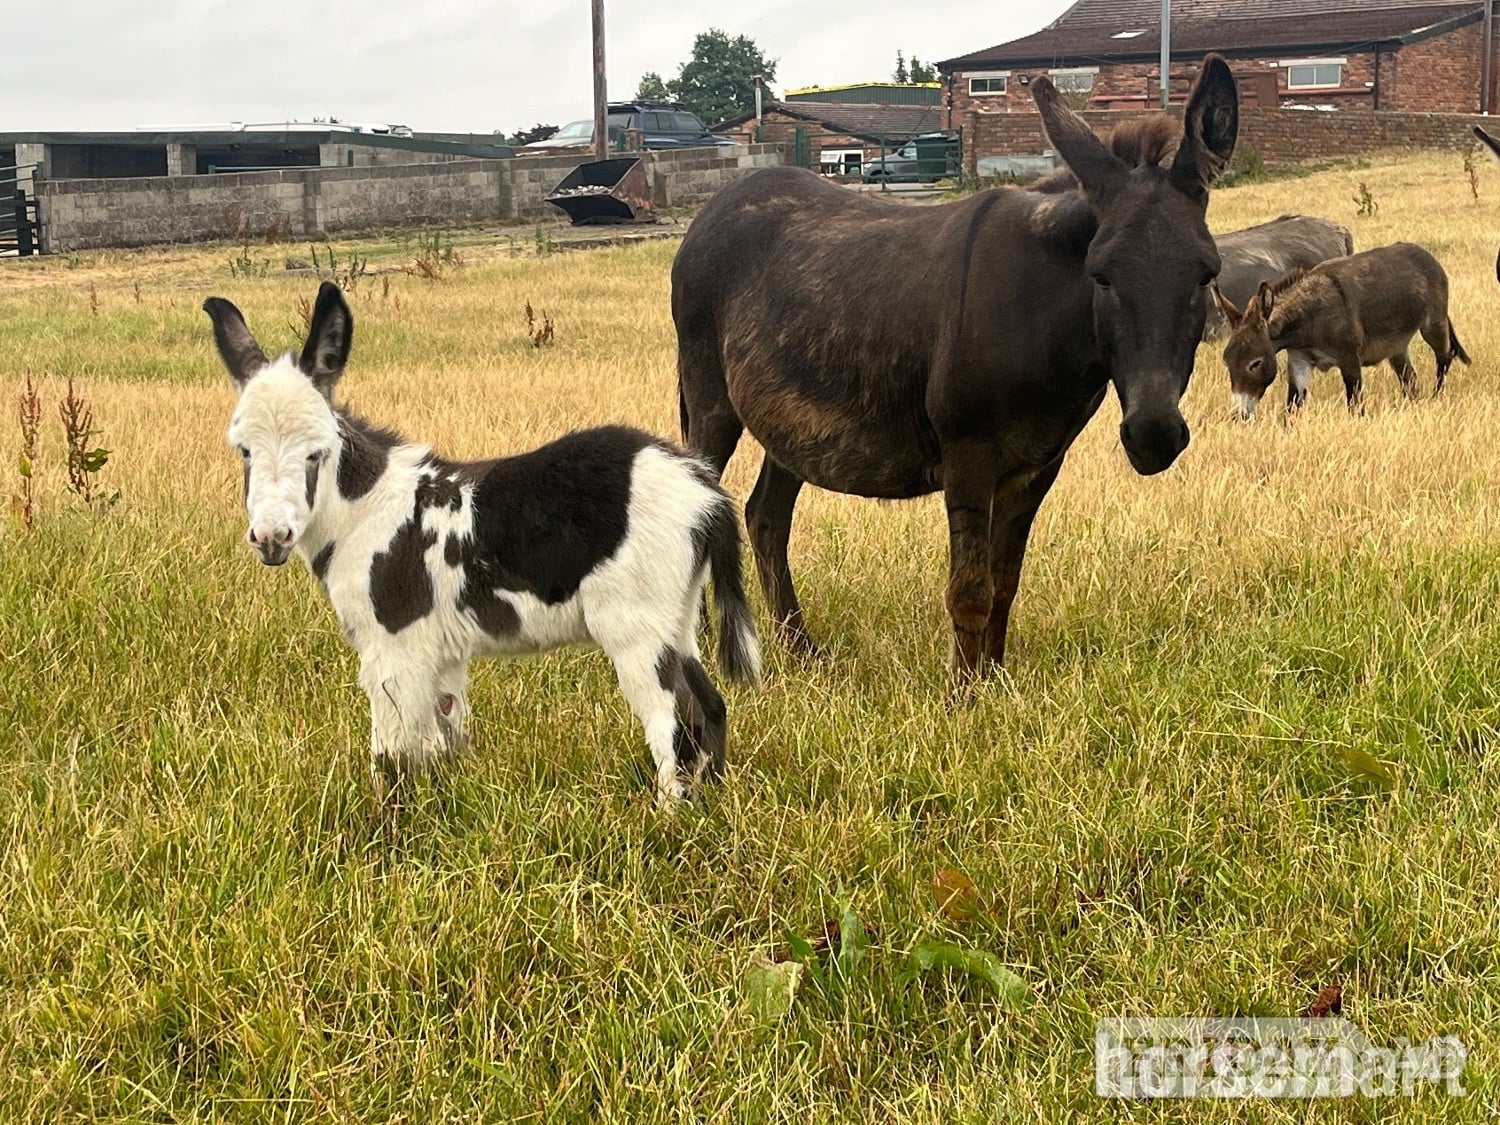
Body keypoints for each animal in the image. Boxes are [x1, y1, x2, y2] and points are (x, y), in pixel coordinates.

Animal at [204, 282, 760, 806]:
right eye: (244, 451)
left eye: (316, 453)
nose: (270, 538)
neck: (365, 512)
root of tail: (704, 489)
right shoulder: (439, 653)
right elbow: (445, 738)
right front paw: (448, 809)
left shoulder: (393, 646)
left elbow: (392, 756)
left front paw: (389, 831)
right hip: (678, 616)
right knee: (710, 708)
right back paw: (712, 804)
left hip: (635, 628)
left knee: (673, 725)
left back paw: (668, 820)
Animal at [671, 54, 1239, 680]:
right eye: (1102, 276)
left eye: (1206, 275)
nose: (1153, 435)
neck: (1041, 314)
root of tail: (714, 207)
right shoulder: (968, 455)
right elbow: (969, 591)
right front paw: (962, 695)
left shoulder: (1038, 466)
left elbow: (1004, 581)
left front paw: (994, 683)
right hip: (712, 402)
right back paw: (700, 648)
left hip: (792, 420)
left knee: (766, 517)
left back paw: (802, 651)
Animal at [1214, 242, 1469, 418]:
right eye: (1226, 362)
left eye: (1255, 363)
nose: (1238, 416)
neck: (1308, 319)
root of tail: (1425, 253)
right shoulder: (1299, 361)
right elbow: (1292, 407)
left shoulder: (1350, 360)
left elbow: (1355, 405)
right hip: (1397, 346)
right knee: (1410, 380)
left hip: (1433, 324)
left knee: (1444, 356)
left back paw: (1437, 397)